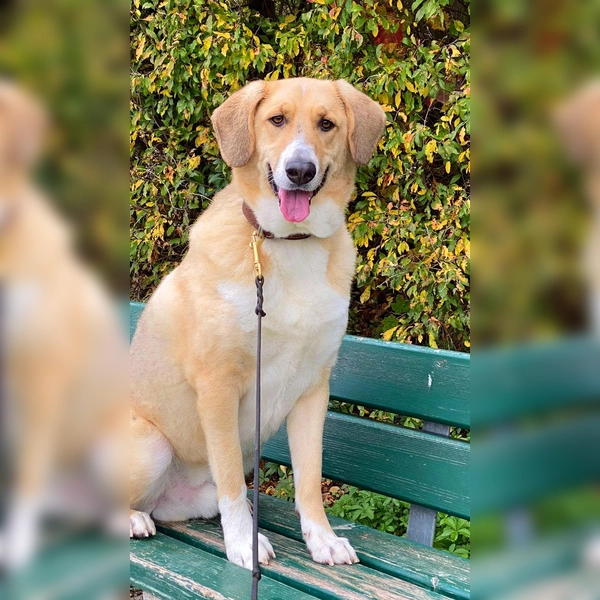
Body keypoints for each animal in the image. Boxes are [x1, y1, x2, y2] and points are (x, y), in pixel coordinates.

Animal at [129, 77, 386, 568]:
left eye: (327, 124)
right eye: (277, 119)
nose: (300, 171)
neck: (290, 243)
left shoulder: (313, 390)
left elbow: (309, 480)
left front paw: (322, 539)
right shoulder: (218, 388)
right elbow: (233, 479)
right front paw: (241, 544)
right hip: (151, 444)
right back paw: (132, 519)